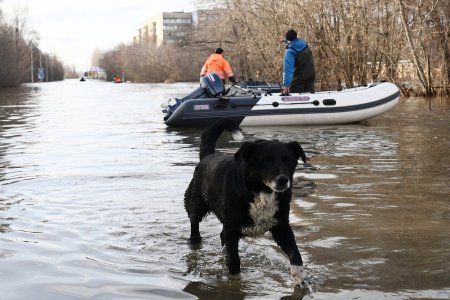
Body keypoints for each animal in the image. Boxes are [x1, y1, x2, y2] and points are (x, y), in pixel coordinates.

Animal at [185, 118, 308, 284]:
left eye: (288, 160)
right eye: (266, 161)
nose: (283, 180)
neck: (262, 192)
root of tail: (207, 156)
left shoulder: (281, 226)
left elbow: (295, 253)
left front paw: (301, 280)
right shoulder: (232, 228)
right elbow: (234, 261)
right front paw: (235, 283)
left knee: (222, 236)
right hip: (196, 203)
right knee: (195, 222)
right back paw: (195, 241)